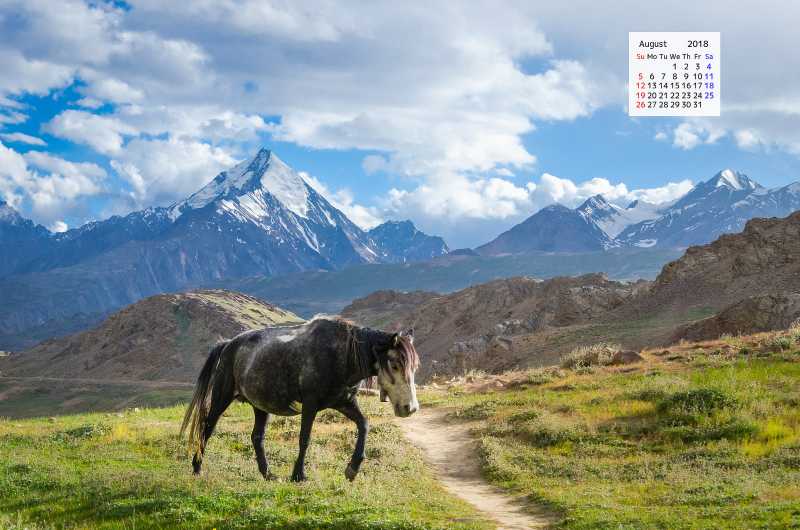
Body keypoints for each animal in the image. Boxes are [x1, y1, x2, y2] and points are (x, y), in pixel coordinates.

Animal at [180, 317, 420, 482]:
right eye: (395, 364)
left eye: (414, 366)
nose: (410, 408)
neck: (341, 355)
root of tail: (228, 344)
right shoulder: (310, 404)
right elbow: (305, 438)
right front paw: (298, 475)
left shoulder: (344, 403)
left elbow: (364, 425)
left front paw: (352, 469)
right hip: (222, 397)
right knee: (207, 428)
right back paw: (197, 468)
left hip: (260, 405)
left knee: (257, 437)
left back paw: (268, 474)